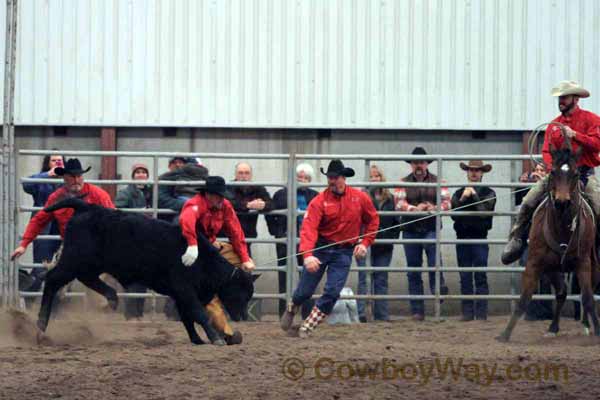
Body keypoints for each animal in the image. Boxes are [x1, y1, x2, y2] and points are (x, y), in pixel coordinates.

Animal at [496, 137, 600, 340]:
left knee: (584, 292)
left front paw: (598, 331)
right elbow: (524, 298)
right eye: (552, 171)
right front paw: (505, 334)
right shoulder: (535, 262)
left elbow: (588, 298)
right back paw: (553, 328)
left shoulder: (583, 263)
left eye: (576, 173)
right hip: (552, 267)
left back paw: (585, 325)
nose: (561, 202)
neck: (562, 227)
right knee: (561, 292)